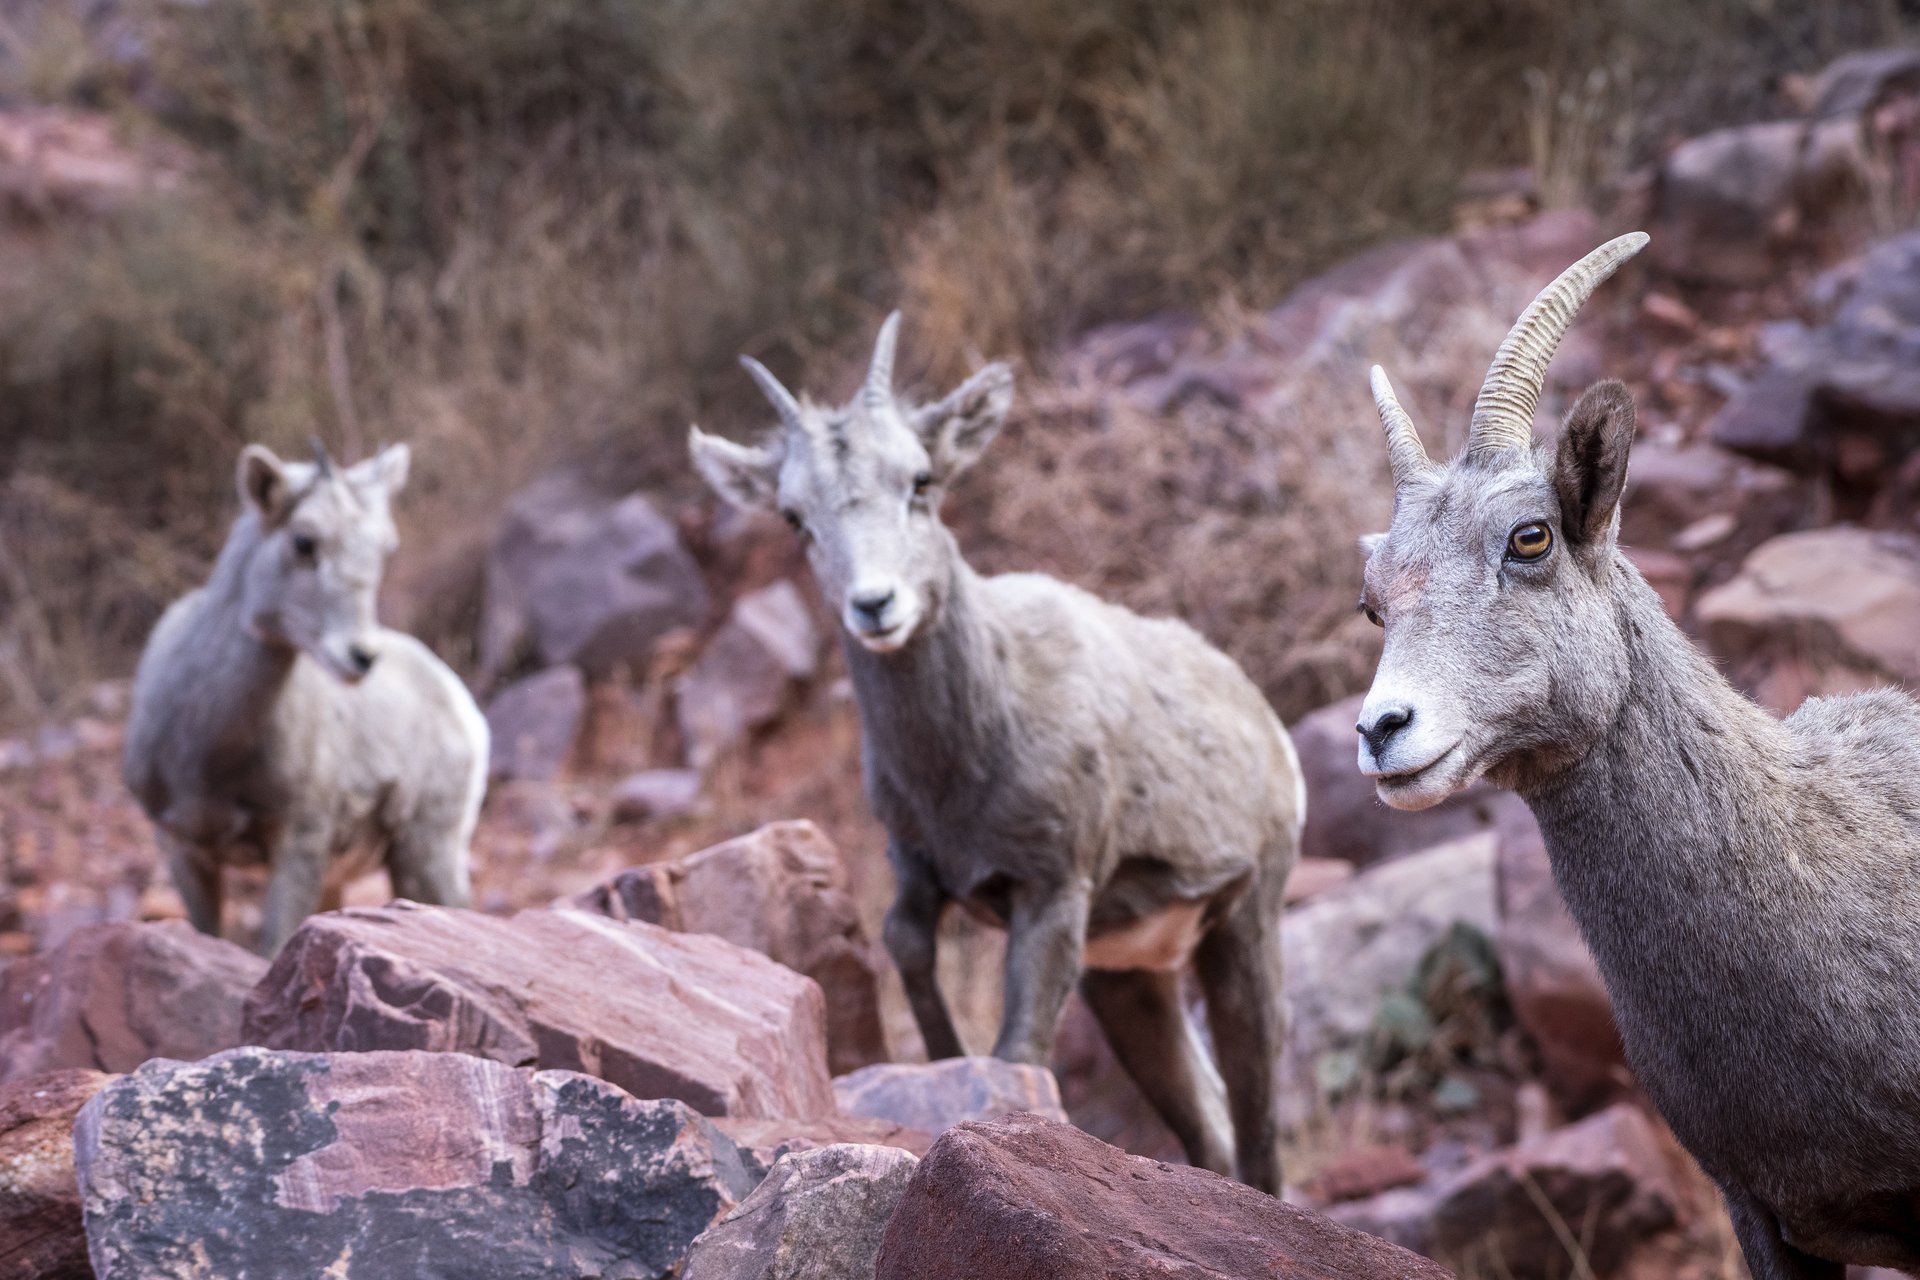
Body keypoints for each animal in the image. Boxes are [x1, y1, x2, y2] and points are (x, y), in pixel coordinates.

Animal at [123, 441, 487, 957]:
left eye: (384, 547)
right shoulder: (181, 849)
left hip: (426, 852)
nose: (361, 656)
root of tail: (459, 700)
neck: (205, 752)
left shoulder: (298, 845)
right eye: (303, 542)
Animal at [689, 315, 1304, 1194]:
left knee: (1256, 1126)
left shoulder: (1053, 891)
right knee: (1211, 1126)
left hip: (1243, 930)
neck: (962, 763)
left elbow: (1018, 1051)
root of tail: (1264, 723)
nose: (875, 605)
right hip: (1131, 979)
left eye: (921, 480)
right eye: (794, 516)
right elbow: (908, 947)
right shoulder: (918, 867)